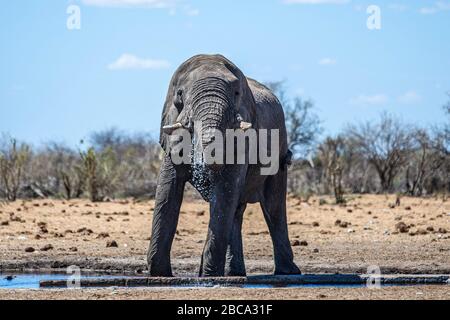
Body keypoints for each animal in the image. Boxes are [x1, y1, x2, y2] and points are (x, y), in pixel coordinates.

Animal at [149, 54, 302, 278]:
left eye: (236, 93)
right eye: (180, 94)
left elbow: (225, 190)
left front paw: (208, 275)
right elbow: (167, 191)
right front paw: (160, 274)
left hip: (281, 144)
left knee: (273, 206)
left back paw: (287, 272)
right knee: (237, 211)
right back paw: (234, 274)